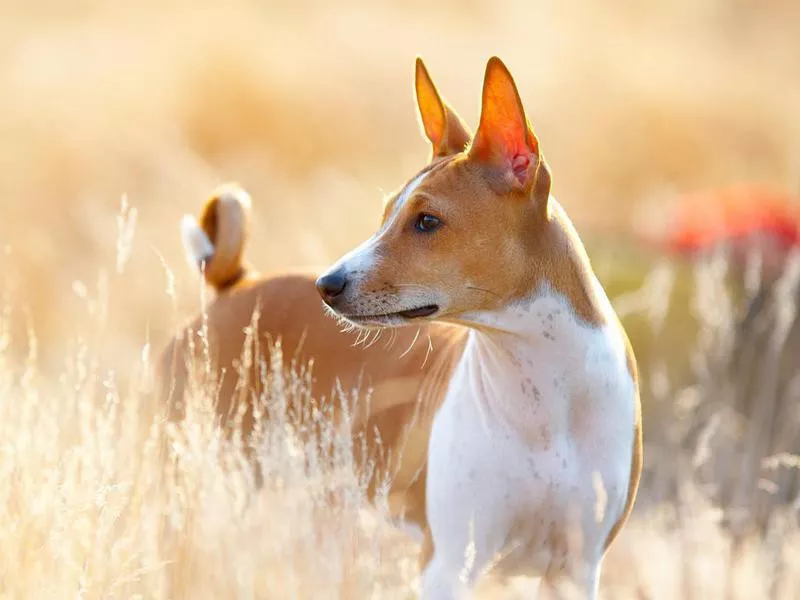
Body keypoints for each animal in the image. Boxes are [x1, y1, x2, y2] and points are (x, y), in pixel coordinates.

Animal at [318, 55, 644, 596]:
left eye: (427, 221)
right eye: (386, 214)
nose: (326, 284)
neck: (542, 396)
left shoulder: (576, 569)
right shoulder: (448, 563)